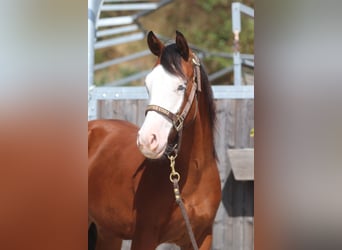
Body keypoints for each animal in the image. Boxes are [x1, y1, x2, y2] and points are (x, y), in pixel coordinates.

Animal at [88, 30, 222, 249]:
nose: (147, 140)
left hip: (108, 233)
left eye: (181, 86)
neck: (194, 175)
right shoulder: (144, 236)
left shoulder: (202, 237)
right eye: (147, 84)